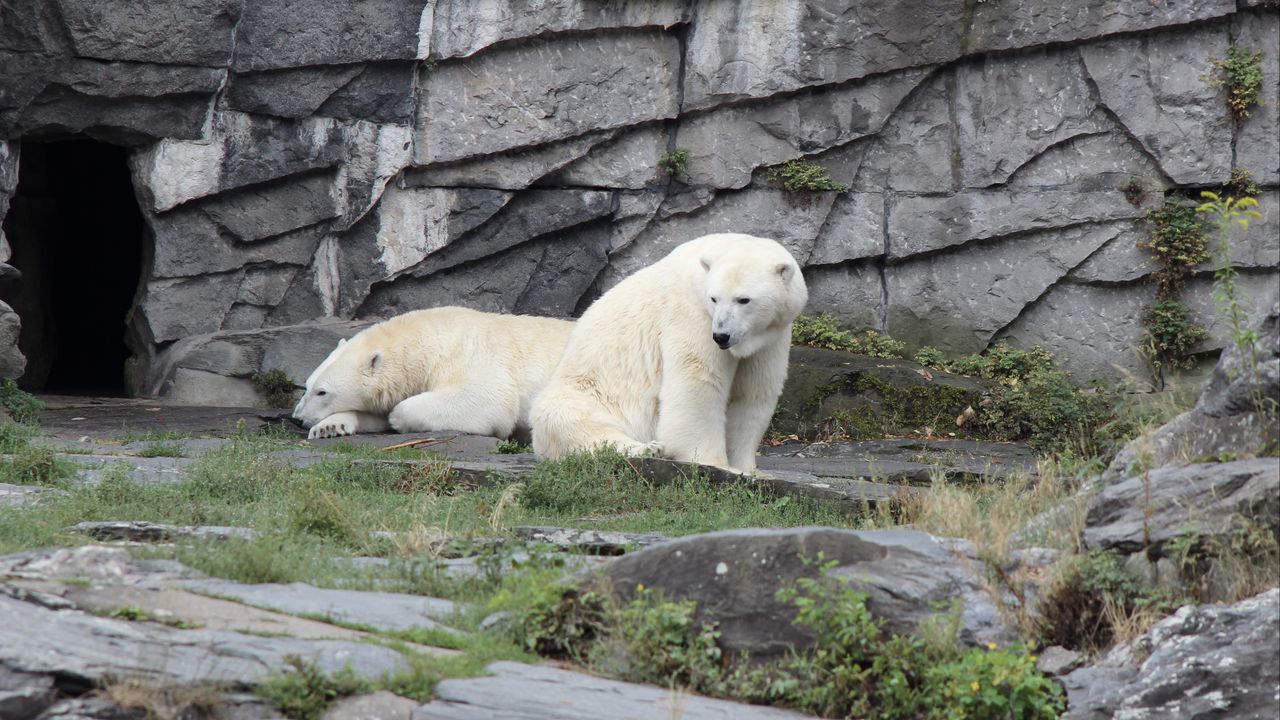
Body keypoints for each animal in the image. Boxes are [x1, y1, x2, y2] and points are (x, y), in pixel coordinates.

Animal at [293, 302, 573, 438]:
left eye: (322, 392)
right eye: (307, 386)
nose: (296, 418)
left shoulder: (473, 355)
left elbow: (489, 399)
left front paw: (397, 419)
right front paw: (328, 428)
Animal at [532, 233, 808, 474]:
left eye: (744, 300)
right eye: (714, 298)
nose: (721, 336)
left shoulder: (772, 336)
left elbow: (753, 392)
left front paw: (749, 469)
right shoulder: (692, 314)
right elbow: (698, 382)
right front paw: (713, 462)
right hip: (585, 390)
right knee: (572, 421)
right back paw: (649, 449)